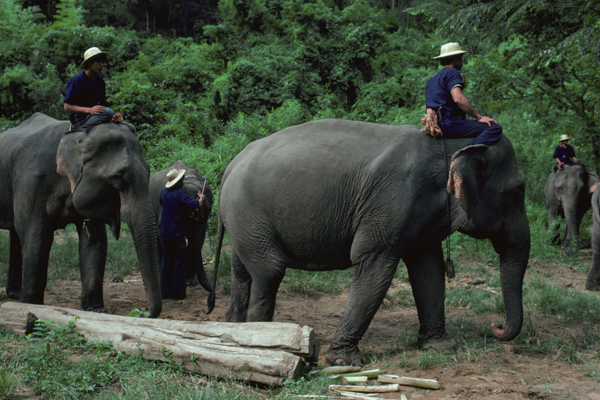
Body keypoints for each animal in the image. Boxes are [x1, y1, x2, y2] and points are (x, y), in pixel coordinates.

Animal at [0, 111, 162, 316]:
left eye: (148, 172)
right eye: (118, 177)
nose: (143, 312)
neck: (77, 135)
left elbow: (94, 240)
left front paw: (96, 310)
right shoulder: (31, 182)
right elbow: (36, 238)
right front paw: (33, 307)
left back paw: (15, 294)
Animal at [210, 118, 528, 366]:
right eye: (517, 191)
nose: (496, 327)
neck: (447, 144)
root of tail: (230, 166)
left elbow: (428, 267)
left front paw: (440, 347)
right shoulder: (390, 202)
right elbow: (374, 264)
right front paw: (344, 361)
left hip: (244, 222)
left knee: (242, 272)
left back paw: (233, 329)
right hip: (249, 213)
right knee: (269, 271)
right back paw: (261, 337)